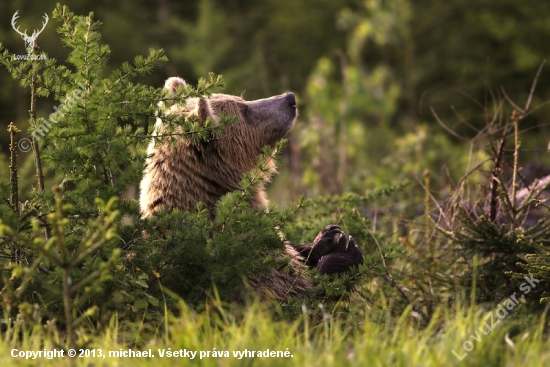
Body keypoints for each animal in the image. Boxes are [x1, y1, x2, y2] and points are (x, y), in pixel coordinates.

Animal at [139, 77, 362, 302]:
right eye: (244, 110)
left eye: (242, 99)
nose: (290, 98)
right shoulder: (242, 260)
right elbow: (294, 291)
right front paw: (345, 250)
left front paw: (326, 238)